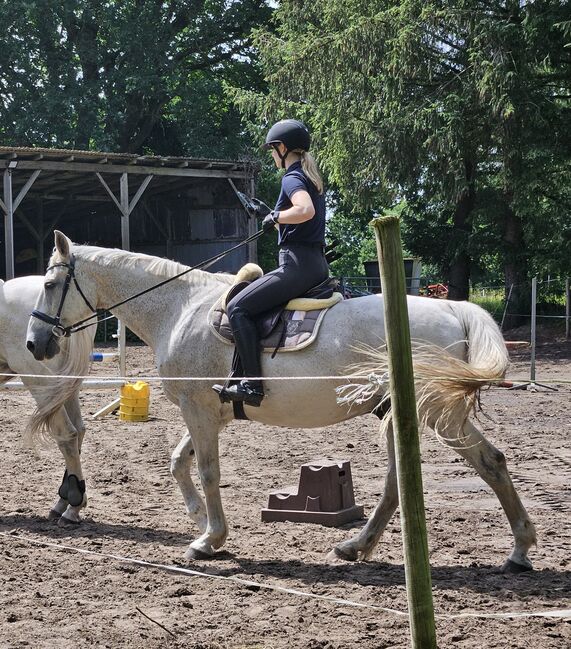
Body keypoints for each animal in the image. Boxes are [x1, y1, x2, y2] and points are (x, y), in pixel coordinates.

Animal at [1, 272, 92, 520]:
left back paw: (73, 506)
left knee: (67, 435)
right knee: (79, 430)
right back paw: (62, 501)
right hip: (65, 389)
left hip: (44, 387)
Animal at [25, 230, 536, 568]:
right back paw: (364, 546)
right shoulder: (213, 412)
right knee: (427, 477)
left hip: (436, 414)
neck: (179, 307)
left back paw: (519, 547)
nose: (35, 343)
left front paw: (209, 538)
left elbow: (208, 472)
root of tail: (453, 307)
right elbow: (178, 463)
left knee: (483, 463)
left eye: (49, 285)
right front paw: (199, 520)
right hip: (406, 414)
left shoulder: (198, 410)